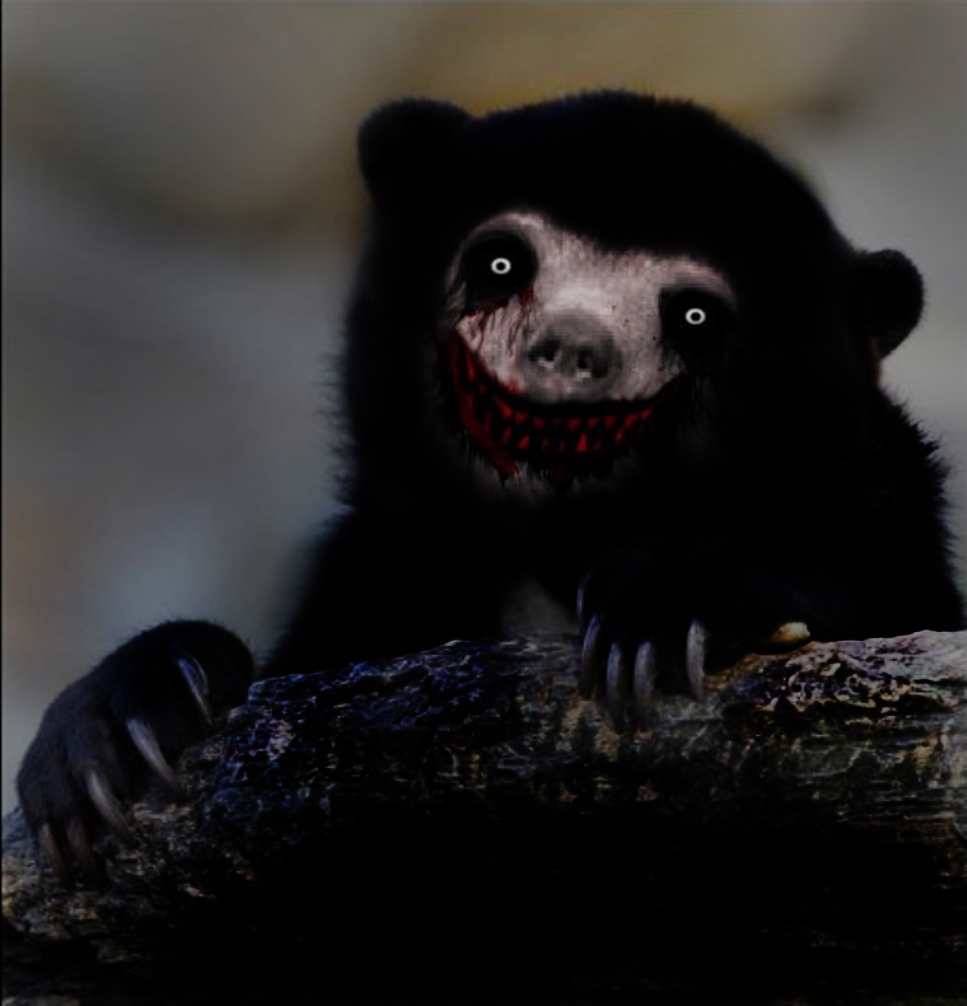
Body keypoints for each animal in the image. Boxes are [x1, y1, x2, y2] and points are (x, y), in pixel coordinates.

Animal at [17, 91, 965, 876]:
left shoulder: (873, 509)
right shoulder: (387, 567)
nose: (570, 349)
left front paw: (662, 612)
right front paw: (117, 729)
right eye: (500, 261)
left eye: (695, 314)